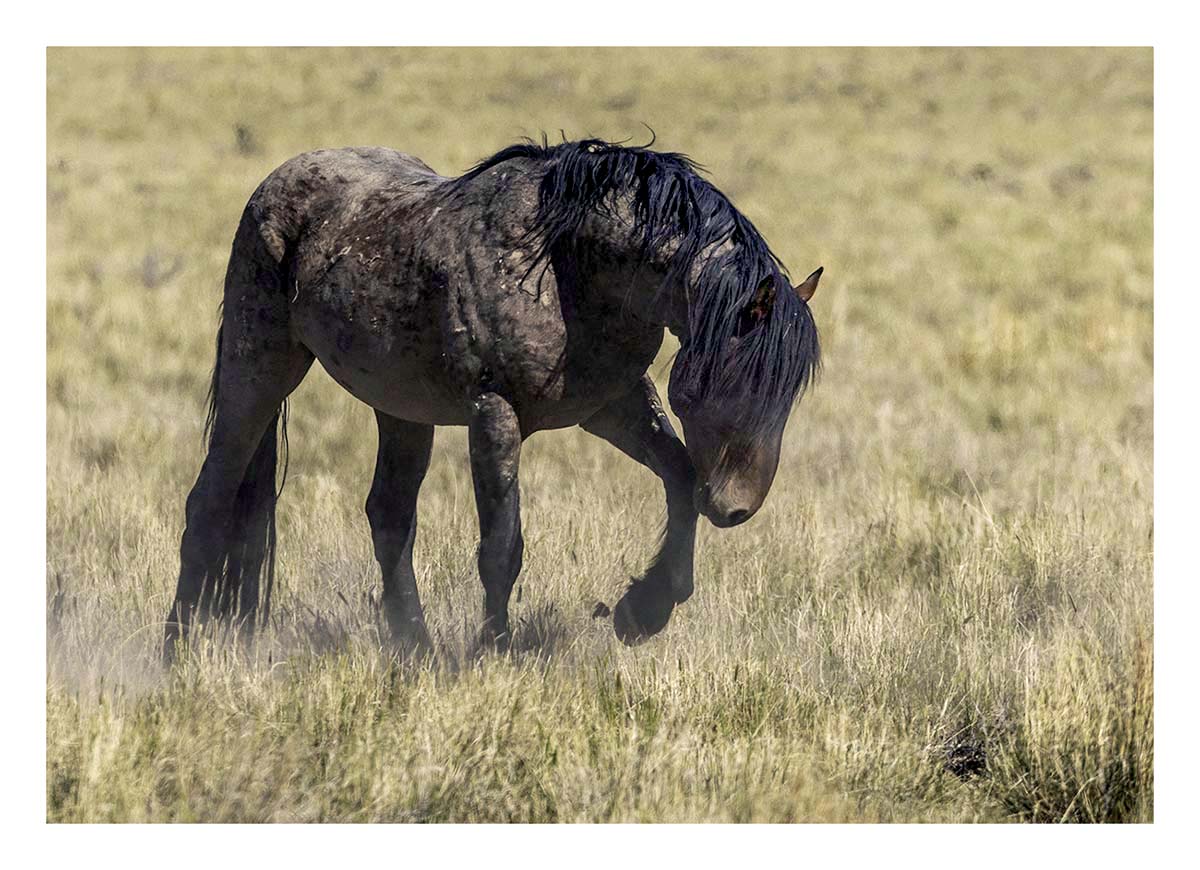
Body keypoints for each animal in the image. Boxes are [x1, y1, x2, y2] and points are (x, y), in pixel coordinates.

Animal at [164, 137, 821, 659]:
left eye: (787, 394)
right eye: (720, 384)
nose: (736, 508)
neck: (564, 267)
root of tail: (279, 179)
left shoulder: (612, 407)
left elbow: (680, 476)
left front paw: (646, 610)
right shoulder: (494, 414)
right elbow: (503, 546)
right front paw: (494, 654)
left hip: (401, 407)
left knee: (389, 516)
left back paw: (416, 650)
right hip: (260, 367)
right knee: (210, 499)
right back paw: (174, 650)